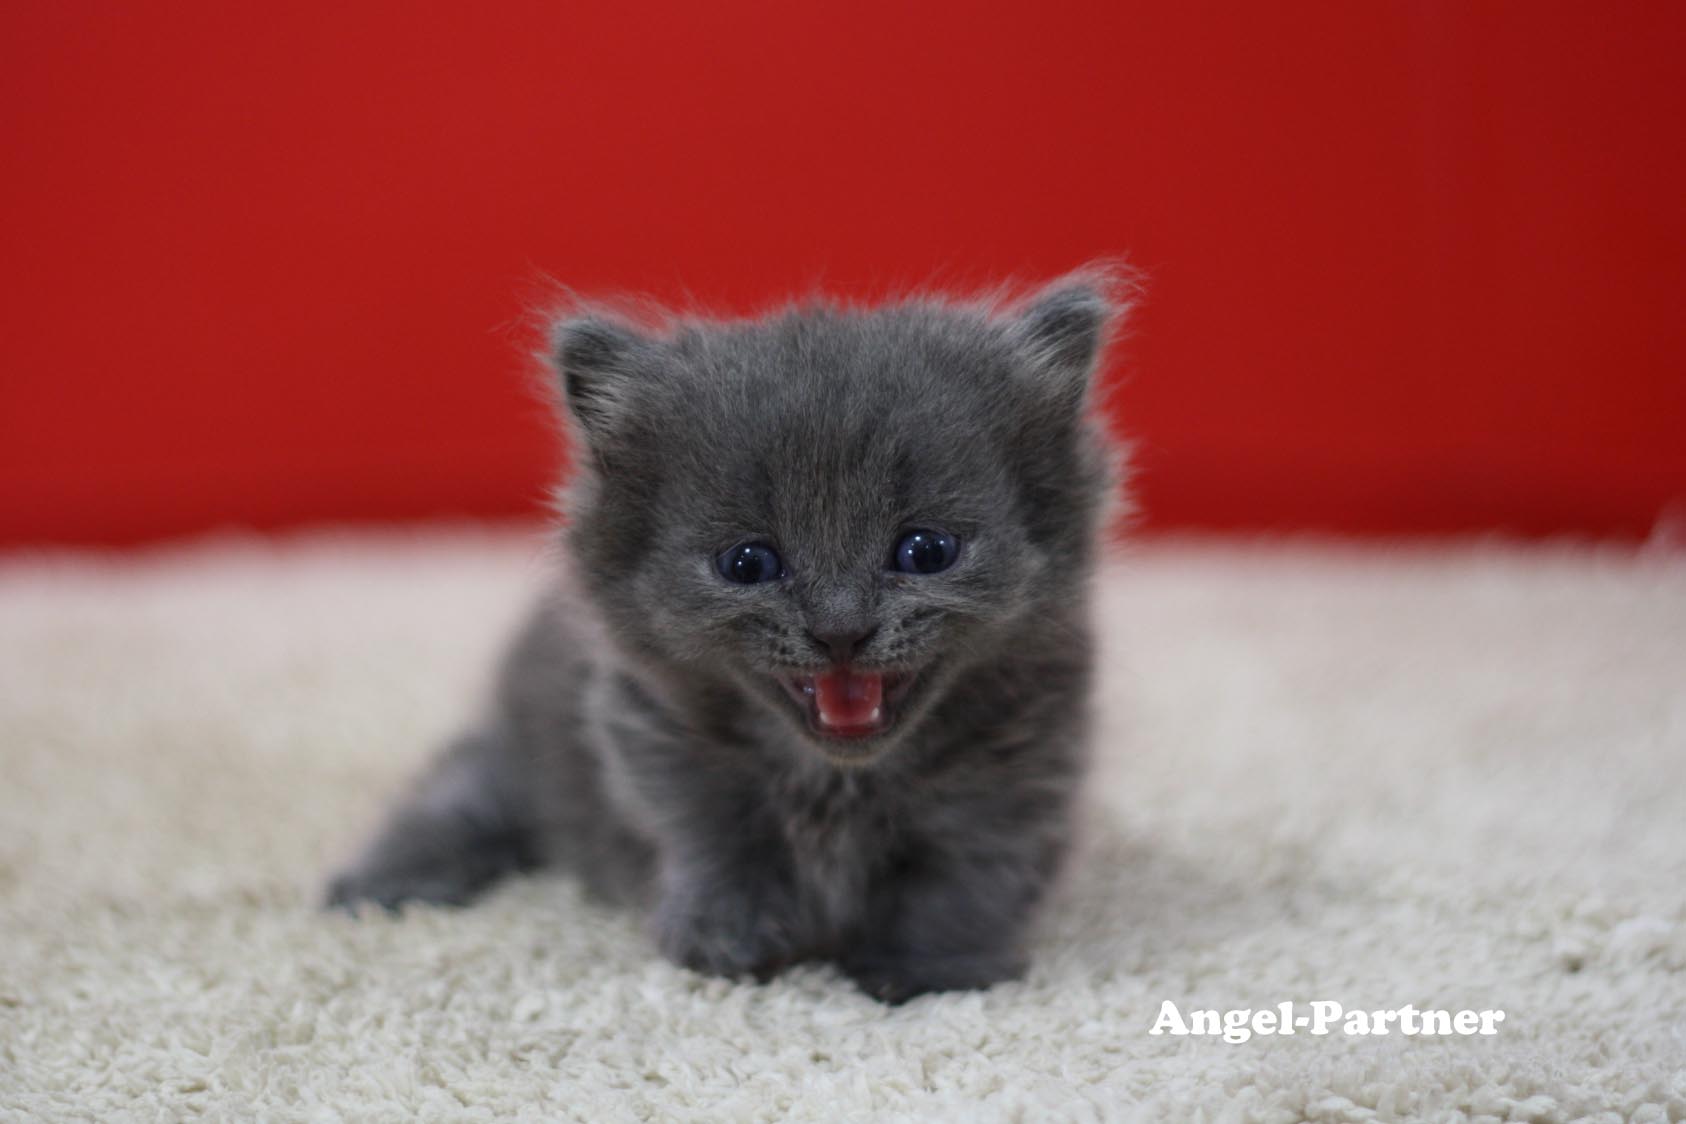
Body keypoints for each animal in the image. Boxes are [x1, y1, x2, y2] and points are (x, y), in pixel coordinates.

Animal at [322, 269, 1126, 1004]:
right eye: (748, 563)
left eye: (926, 551)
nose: (840, 628)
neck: (836, 782)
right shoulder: (660, 741)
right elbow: (717, 839)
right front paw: (731, 943)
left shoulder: (1019, 770)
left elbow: (966, 876)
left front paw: (931, 969)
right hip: (519, 754)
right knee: (456, 789)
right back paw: (381, 884)